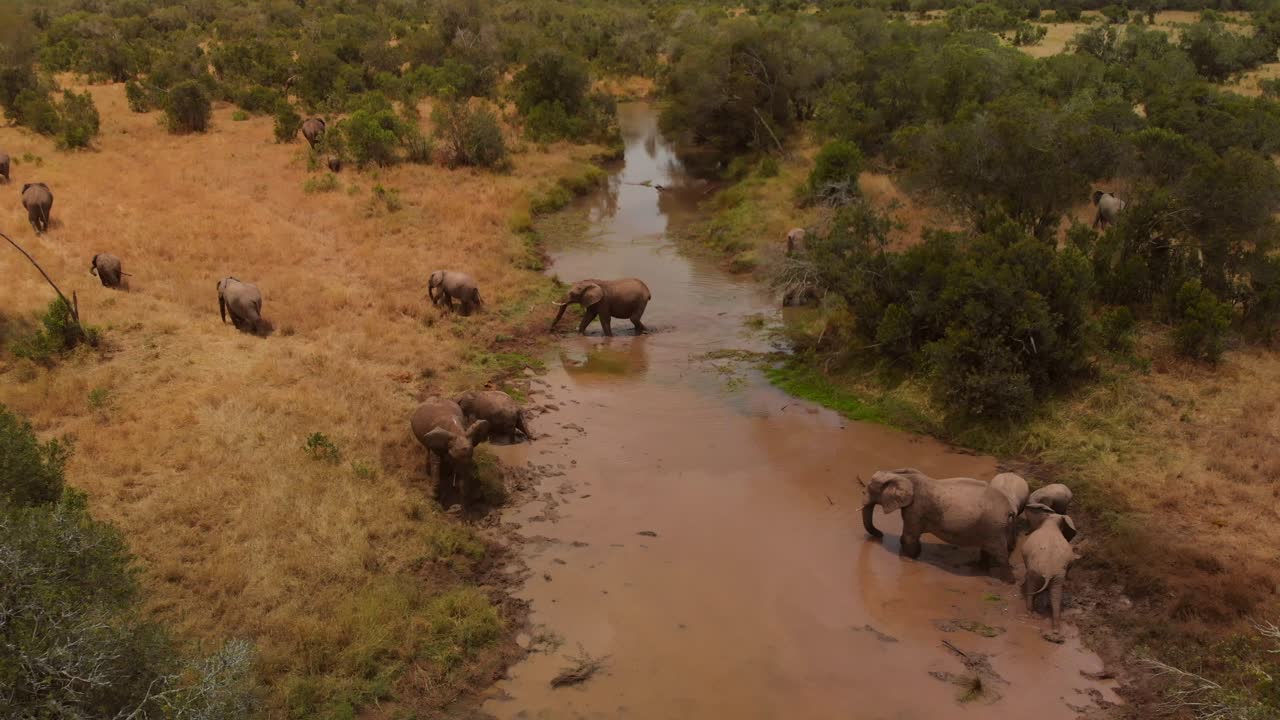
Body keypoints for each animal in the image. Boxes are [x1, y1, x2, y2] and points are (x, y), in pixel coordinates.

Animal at [861, 468, 1017, 574]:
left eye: (870, 490)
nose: (880, 534)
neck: (901, 475)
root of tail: (1009, 508)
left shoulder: (916, 507)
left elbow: (909, 537)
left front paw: (910, 559)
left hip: (995, 526)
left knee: (1000, 553)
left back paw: (1007, 580)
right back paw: (979, 569)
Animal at [1022, 503, 1078, 636]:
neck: (1051, 521)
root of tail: (1048, 572)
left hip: (1036, 571)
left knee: (1032, 586)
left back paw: (1031, 612)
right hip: (1057, 575)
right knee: (1055, 594)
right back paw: (1056, 630)